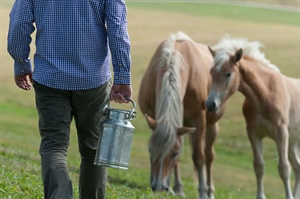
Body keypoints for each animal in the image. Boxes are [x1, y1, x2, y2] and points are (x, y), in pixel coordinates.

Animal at [138, 31, 225, 198]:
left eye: (174, 153)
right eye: (150, 150)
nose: (159, 187)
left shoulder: (198, 120)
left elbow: (199, 157)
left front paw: (202, 192)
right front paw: (174, 188)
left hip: (212, 125)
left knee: (209, 156)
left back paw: (210, 191)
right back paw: (177, 188)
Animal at [206, 36, 300, 199]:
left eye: (228, 73)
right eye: (212, 72)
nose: (211, 104)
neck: (265, 94)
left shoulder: (281, 134)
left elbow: (284, 168)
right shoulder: (253, 133)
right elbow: (259, 166)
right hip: (293, 144)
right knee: (298, 168)